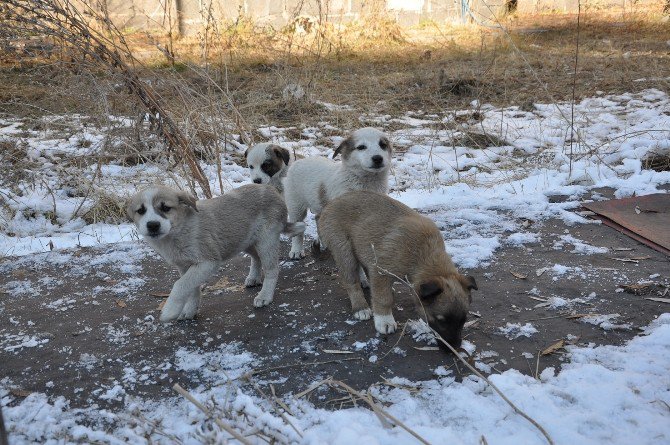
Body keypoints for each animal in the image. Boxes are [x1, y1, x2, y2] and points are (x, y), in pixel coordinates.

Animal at [126, 182, 308, 320]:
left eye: (165, 208)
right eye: (141, 211)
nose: (152, 225)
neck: (180, 230)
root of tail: (271, 190)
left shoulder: (207, 262)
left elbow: (180, 285)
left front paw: (170, 311)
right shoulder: (185, 267)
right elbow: (191, 288)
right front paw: (189, 311)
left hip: (266, 241)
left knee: (272, 269)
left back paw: (265, 296)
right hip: (243, 241)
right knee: (256, 258)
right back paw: (253, 278)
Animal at [280, 126, 392, 258]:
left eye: (383, 145)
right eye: (361, 147)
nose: (378, 158)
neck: (365, 181)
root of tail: (298, 162)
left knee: (318, 218)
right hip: (295, 205)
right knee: (298, 230)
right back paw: (296, 251)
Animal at [318, 190, 478, 346]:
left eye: (463, 321)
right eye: (441, 320)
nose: (455, 347)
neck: (423, 254)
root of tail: (331, 203)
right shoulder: (381, 271)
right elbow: (383, 298)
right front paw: (384, 320)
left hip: (361, 248)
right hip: (344, 250)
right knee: (351, 281)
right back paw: (360, 307)